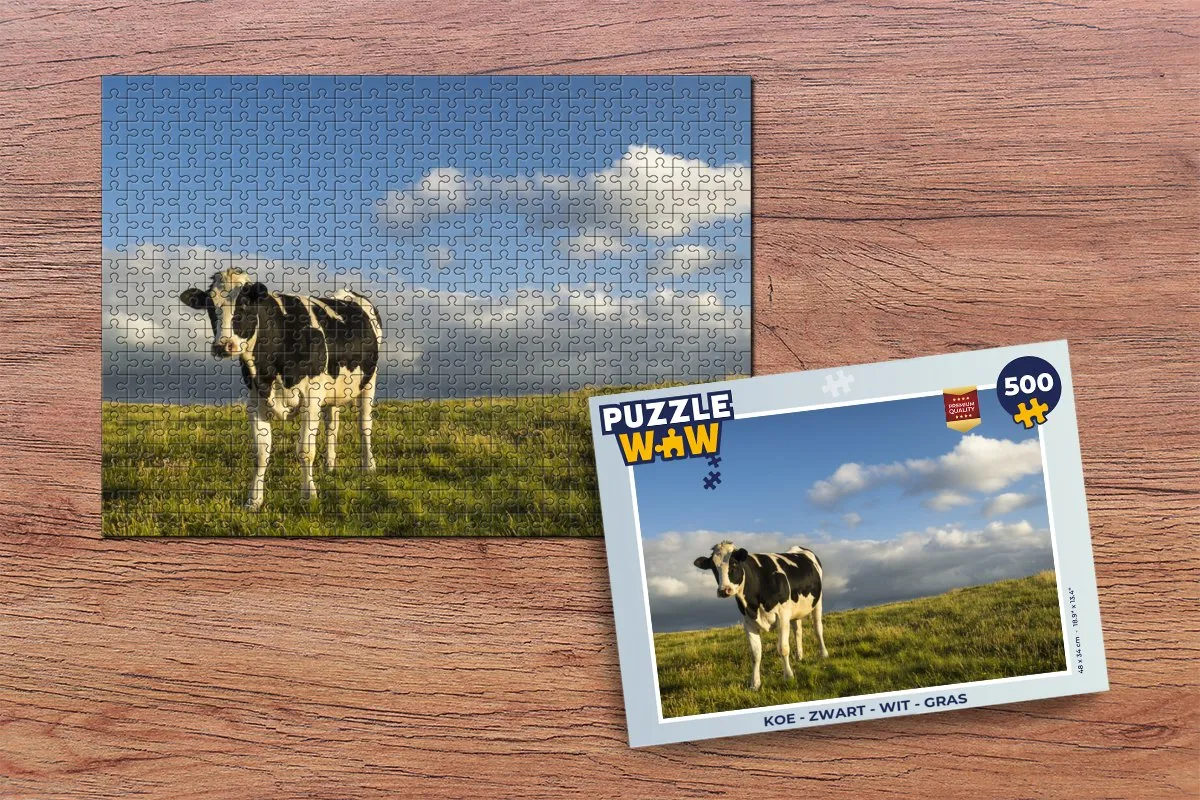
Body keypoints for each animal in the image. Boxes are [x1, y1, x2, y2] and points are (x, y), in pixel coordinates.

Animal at [180, 268, 383, 510]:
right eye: (211, 307)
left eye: (245, 305)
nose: (223, 345)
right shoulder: (255, 401)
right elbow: (261, 452)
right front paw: (254, 500)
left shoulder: (311, 398)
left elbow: (305, 450)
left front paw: (308, 495)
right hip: (333, 390)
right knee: (332, 425)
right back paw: (330, 466)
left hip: (369, 381)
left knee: (364, 425)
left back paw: (368, 466)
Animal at [694, 541, 829, 690]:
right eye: (713, 567)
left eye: (734, 563)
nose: (724, 590)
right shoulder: (748, 622)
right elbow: (755, 654)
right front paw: (755, 683)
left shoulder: (782, 616)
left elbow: (783, 648)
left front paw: (788, 676)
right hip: (795, 610)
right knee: (798, 631)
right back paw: (799, 656)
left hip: (818, 601)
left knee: (818, 628)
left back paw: (823, 653)